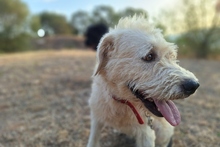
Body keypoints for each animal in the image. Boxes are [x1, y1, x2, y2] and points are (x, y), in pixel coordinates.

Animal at [86, 15, 199, 146]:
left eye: (171, 56)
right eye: (149, 56)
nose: (194, 85)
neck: (122, 103)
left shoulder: (146, 134)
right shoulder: (96, 120)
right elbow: (93, 141)